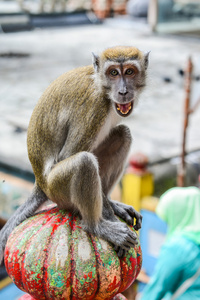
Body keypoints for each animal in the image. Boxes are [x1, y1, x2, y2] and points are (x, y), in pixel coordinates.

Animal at [0, 45, 148, 262]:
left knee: (123, 134)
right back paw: (96, 226)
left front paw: (112, 207)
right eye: (113, 73)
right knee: (84, 161)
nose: (123, 91)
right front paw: (109, 219)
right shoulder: (94, 107)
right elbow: (69, 154)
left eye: (130, 71)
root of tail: (40, 185)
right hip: (57, 189)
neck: (103, 90)